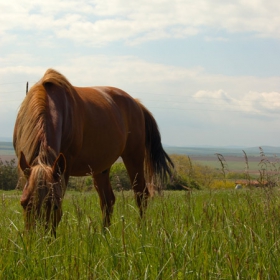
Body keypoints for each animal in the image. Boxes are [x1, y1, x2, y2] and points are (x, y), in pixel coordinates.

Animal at [14, 69, 174, 235]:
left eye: (55, 205)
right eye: (23, 203)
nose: (38, 239)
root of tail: (136, 103)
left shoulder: (65, 165)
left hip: (134, 156)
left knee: (140, 194)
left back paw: (141, 230)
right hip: (101, 168)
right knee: (108, 200)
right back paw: (105, 234)